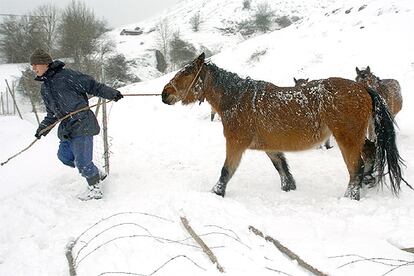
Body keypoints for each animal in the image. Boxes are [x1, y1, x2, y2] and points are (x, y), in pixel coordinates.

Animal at [160, 53, 410, 201]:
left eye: (186, 72)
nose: (165, 94)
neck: (237, 99)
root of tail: (363, 89)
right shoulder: (270, 145)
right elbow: (281, 167)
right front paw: (289, 187)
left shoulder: (236, 144)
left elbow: (226, 170)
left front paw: (216, 192)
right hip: (355, 136)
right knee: (369, 152)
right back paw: (368, 180)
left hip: (347, 138)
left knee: (355, 166)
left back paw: (352, 194)